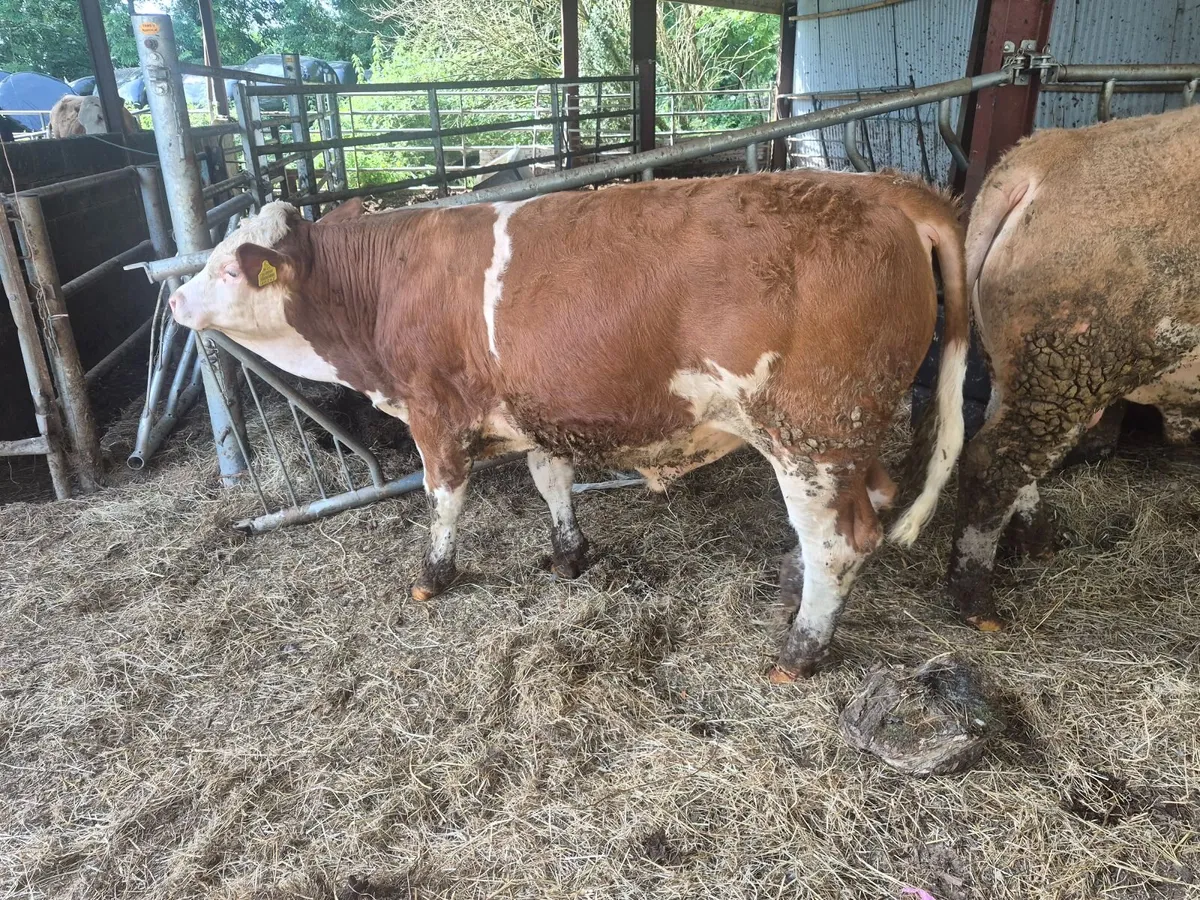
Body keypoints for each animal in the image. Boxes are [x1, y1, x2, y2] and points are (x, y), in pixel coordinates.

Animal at [168, 170, 971, 678]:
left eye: (230, 268)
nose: (173, 299)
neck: (384, 284)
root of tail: (878, 188)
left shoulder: (435, 412)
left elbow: (443, 499)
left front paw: (433, 576)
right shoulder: (534, 409)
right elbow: (550, 480)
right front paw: (568, 554)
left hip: (807, 433)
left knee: (839, 541)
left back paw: (801, 649)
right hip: (850, 430)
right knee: (870, 502)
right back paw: (790, 582)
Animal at [947, 104, 1200, 632]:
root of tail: (1038, 158)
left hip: (1026, 362)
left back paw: (1038, 544)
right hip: (1074, 355)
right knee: (994, 461)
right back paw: (978, 603)